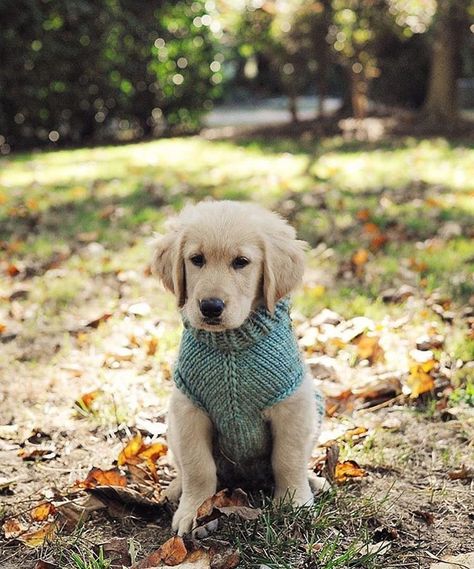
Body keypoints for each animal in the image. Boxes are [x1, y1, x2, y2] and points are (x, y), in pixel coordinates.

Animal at [154, 202, 324, 536]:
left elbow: (288, 458)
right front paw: (193, 510)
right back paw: (175, 489)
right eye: (197, 259)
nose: (210, 307)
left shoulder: (292, 404)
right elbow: (198, 466)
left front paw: (295, 501)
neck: (231, 345)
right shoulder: (189, 409)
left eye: (241, 262)